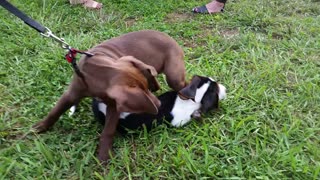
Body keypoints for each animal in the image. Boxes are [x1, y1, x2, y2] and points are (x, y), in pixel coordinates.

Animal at [31, 29, 188, 163]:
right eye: (142, 90)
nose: (159, 105)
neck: (97, 71)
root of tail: (168, 37)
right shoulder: (71, 94)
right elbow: (55, 110)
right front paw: (41, 126)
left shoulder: (113, 107)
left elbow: (108, 131)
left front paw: (103, 156)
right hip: (148, 69)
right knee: (156, 82)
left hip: (172, 75)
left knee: (182, 85)